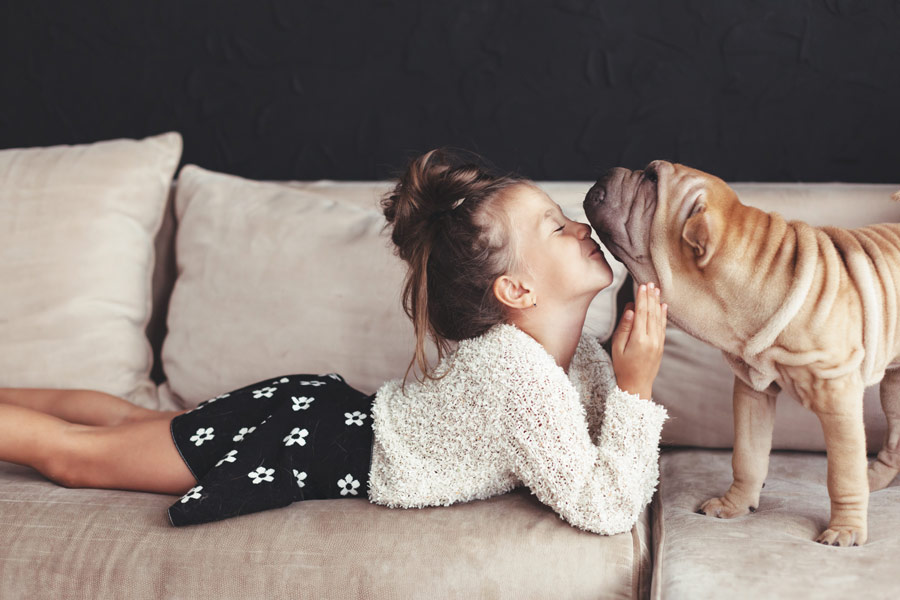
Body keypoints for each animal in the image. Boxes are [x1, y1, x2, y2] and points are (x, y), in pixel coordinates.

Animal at [584, 161, 900, 548]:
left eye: (652, 179)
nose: (609, 169)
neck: (760, 273)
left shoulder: (838, 398)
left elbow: (844, 472)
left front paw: (846, 529)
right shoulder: (752, 389)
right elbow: (747, 455)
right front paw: (733, 505)